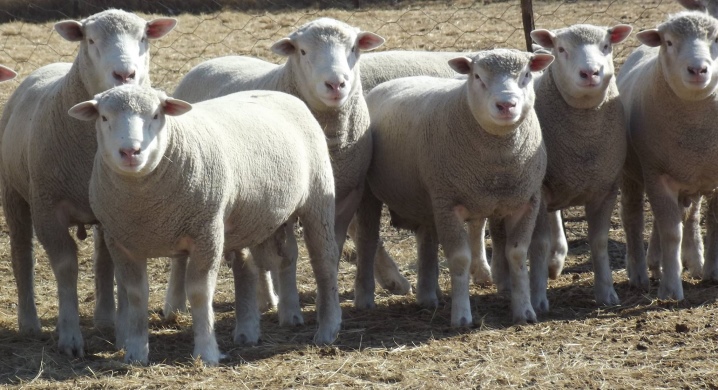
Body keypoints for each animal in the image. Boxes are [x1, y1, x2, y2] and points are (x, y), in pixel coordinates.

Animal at [0, 9, 177, 356]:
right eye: (91, 39)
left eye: (143, 38)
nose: (125, 74)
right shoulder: (48, 208)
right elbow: (66, 267)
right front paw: (70, 337)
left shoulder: (118, 212)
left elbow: (118, 268)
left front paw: (123, 332)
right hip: (14, 194)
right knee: (22, 253)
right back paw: (29, 323)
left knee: (102, 258)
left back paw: (105, 318)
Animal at [70, 85, 344, 366]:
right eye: (104, 117)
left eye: (156, 115)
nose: (130, 152)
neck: (145, 205)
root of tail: (276, 92)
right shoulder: (121, 243)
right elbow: (136, 294)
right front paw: (135, 353)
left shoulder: (205, 234)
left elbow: (199, 292)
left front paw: (206, 352)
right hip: (243, 220)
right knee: (249, 267)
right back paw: (254, 328)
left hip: (317, 198)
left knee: (324, 261)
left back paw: (328, 328)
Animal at [172, 16, 414, 316]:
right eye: (303, 51)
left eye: (354, 47)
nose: (336, 84)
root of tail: (212, 60)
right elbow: (288, 254)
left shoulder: (345, 195)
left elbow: (331, 247)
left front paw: (325, 295)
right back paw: (176, 305)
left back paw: (266, 298)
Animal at [356, 48, 556, 322]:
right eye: (478, 76)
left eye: (526, 75)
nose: (506, 105)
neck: (498, 160)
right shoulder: (448, 203)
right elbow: (460, 259)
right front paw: (461, 316)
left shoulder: (525, 202)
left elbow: (516, 254)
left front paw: (524, 310)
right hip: (372, 192)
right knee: (366, 238)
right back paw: (366, 297)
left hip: (428, 198)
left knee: (426, 239)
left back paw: (429, 295)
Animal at [620, 10, 718, 300]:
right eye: (670, 42)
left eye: (716, 39)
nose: (698, 70)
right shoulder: (657, 174)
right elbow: (671, 233)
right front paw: (671, 289)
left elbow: (712, 223)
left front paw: (712, 272)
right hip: (631, 174)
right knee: (633, 217)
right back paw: (640, 273)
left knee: (689, 216)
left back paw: (680, 262)